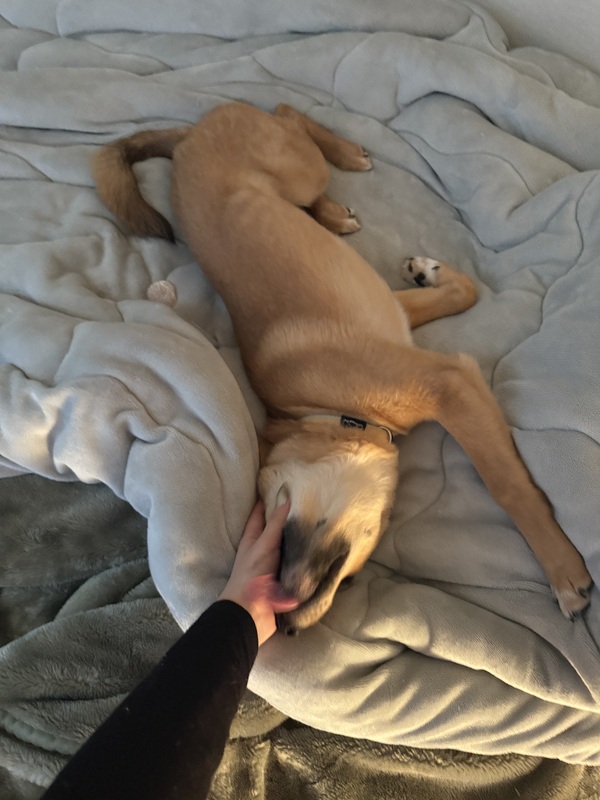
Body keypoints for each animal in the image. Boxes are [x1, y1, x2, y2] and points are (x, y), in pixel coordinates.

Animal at [93, 101, 592, 632]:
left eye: (275, 528)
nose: (284, 629)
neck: (331, 411)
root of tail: (190, 135)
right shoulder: (406, 329)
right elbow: (463, 292)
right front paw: (432, 273)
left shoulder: (447, 383)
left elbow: (508, 486)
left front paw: (563, 573)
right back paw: (334, 212)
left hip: (299, 169)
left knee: (288, 114)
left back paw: (346, 156)